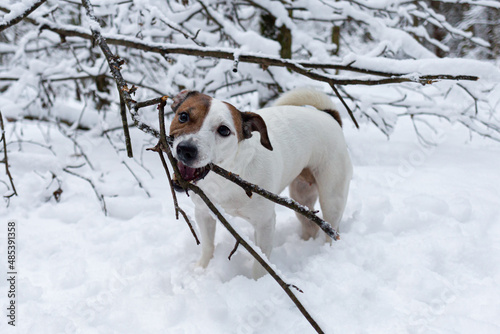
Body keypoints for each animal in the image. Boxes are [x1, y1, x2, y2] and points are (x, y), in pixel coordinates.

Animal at [168, 87, 352, 278]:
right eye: (183, 116)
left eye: (224, 130)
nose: (186, 149)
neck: (229, 174)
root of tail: (329, 115)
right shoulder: (203, 212)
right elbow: (207, 245)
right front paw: (201, 269)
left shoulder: (265, 224)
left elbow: (260, 262)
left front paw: (258, 282)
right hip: (301, 197)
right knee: (310, 225)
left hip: (332, 198)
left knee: (331, 228)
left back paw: (327, 251)